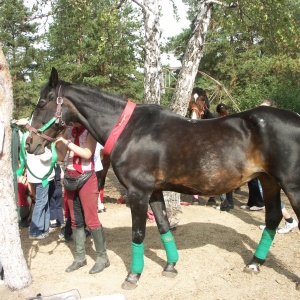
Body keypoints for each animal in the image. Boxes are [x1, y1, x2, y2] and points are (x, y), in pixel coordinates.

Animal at [25, 67, 300, 288]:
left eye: (41, 102)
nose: (30, 143)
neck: (129, 128)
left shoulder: (138, 192)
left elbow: (138, 234)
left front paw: (133, 276)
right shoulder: (154, 191)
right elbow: (163, 226)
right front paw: (171, 266)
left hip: (291, 186)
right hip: (268, 181)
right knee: (273, 217)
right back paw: (255, 262)